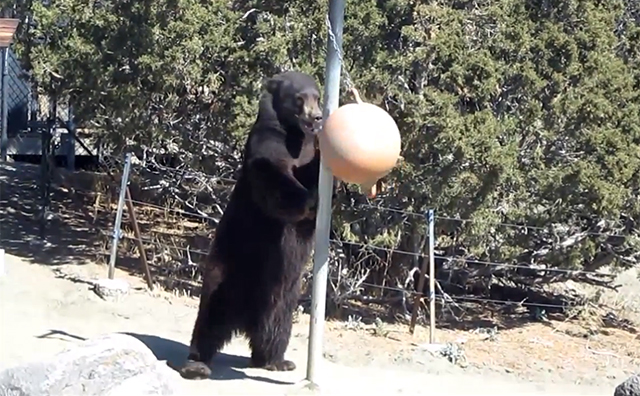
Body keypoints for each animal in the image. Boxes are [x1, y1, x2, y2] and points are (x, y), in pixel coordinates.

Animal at [180, 71, 324, 380]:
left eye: (318, 96)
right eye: (299, 98)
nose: (317, 116)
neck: (294, 134)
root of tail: (245, 317)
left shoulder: (307, 148)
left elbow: (314, 171)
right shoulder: (268, 142)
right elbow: (272, 173)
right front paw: (304, 196)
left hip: (286, 294)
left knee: (277, 324)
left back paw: (275, 359)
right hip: (228, 268)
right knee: (210, 317)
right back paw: (197, 364)